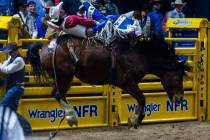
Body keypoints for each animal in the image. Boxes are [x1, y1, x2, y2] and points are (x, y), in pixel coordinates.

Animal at [26, 33, 190, 128]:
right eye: (178, 75)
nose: (180, 98)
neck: (138, 55)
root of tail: (46, 45)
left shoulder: (131, 83)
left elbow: (141, 99)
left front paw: (135, 119)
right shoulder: (126, 82)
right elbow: (142, 98)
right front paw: (135, 120)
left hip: (62, 77)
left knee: (58, 93)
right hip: (64, 76)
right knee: (58, 94)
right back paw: (72, 117)